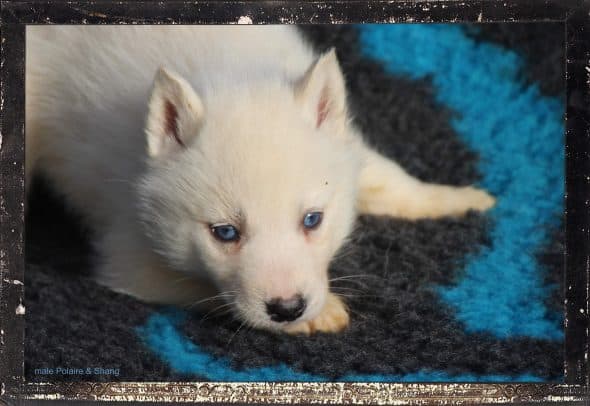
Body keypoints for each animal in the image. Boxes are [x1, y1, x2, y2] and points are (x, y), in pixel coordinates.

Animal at [24, 25, 494, 334]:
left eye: (312, 220)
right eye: (225, 232)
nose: (287, 309)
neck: (228, 73)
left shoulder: (349, 147)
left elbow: (389, 177)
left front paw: (458, 199)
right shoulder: (128, 258)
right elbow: (205, 289)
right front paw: (318, 315)